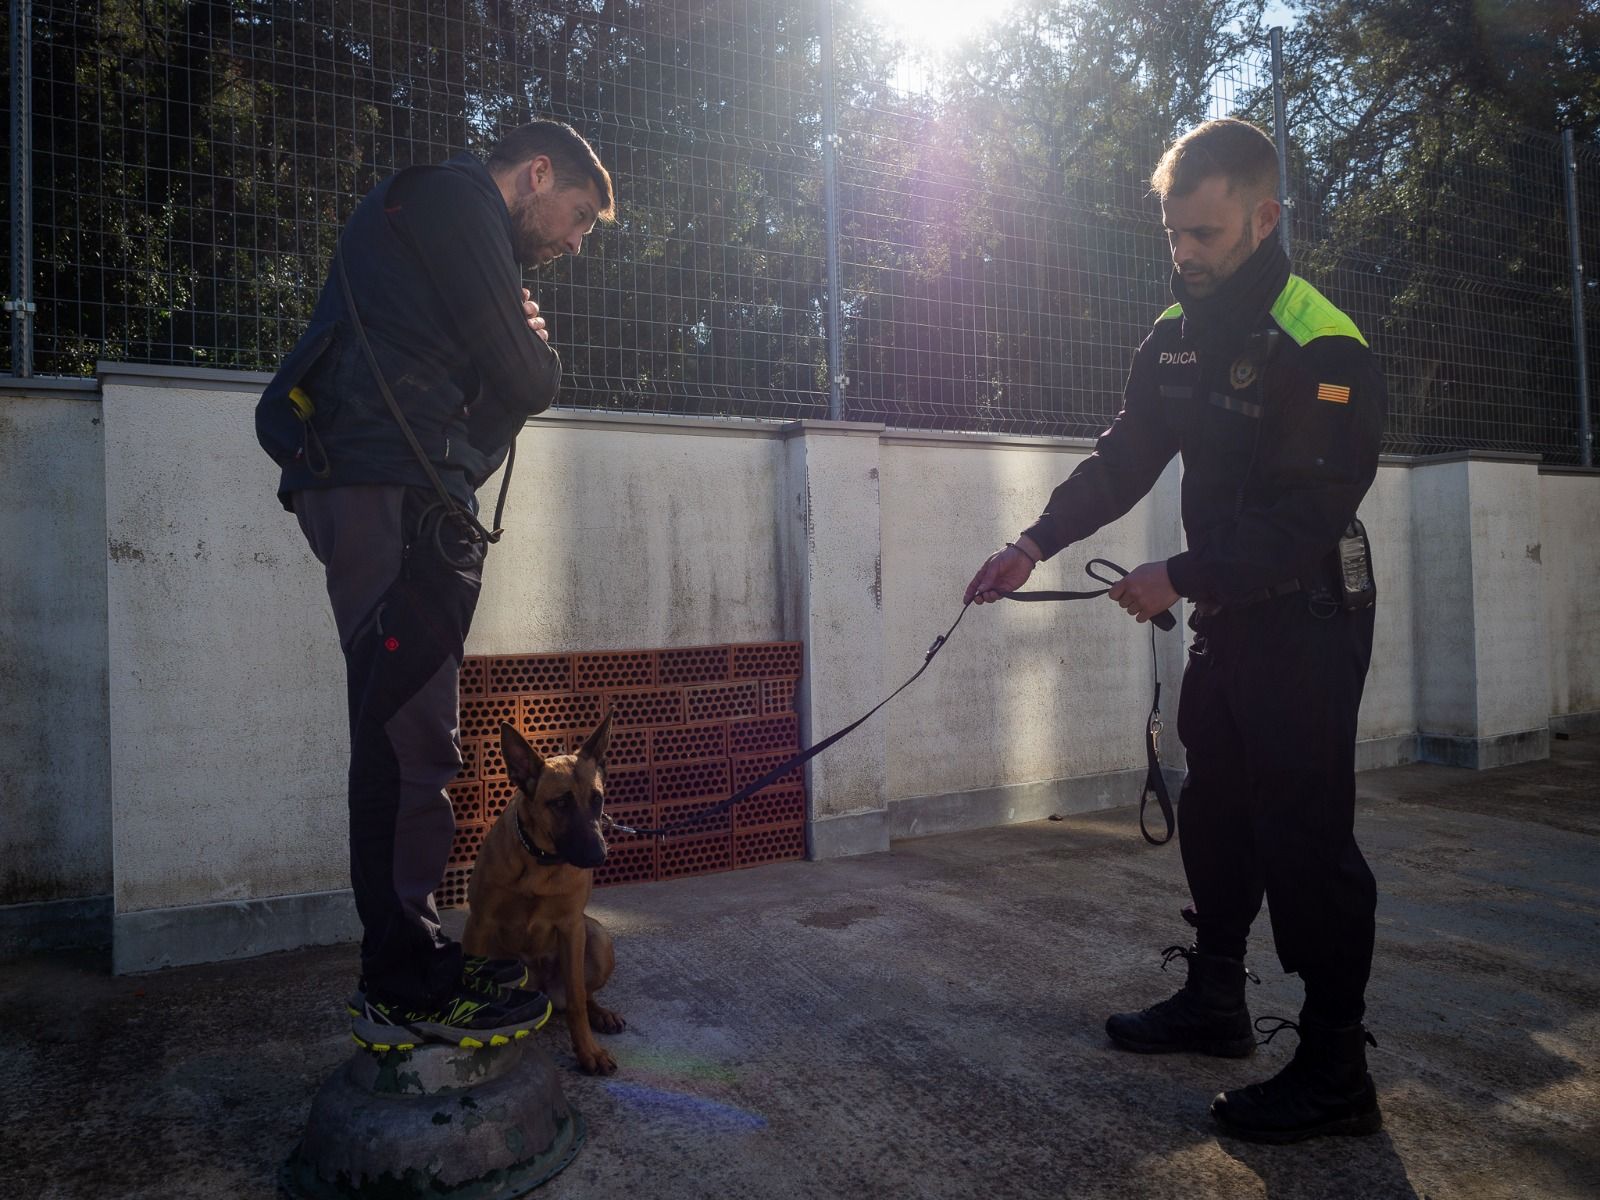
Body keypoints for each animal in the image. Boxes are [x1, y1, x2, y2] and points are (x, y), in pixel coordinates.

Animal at [464, 720, 624, 1075]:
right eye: (560, 803)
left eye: (597, 799)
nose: (599, 855)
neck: (540, 861)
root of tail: (546, 992)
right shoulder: (479, 924)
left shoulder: (571, 927)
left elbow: (577, 1000)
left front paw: (588, 1052)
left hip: (597, 936)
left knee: (582, 994)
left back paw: (601, 1014)